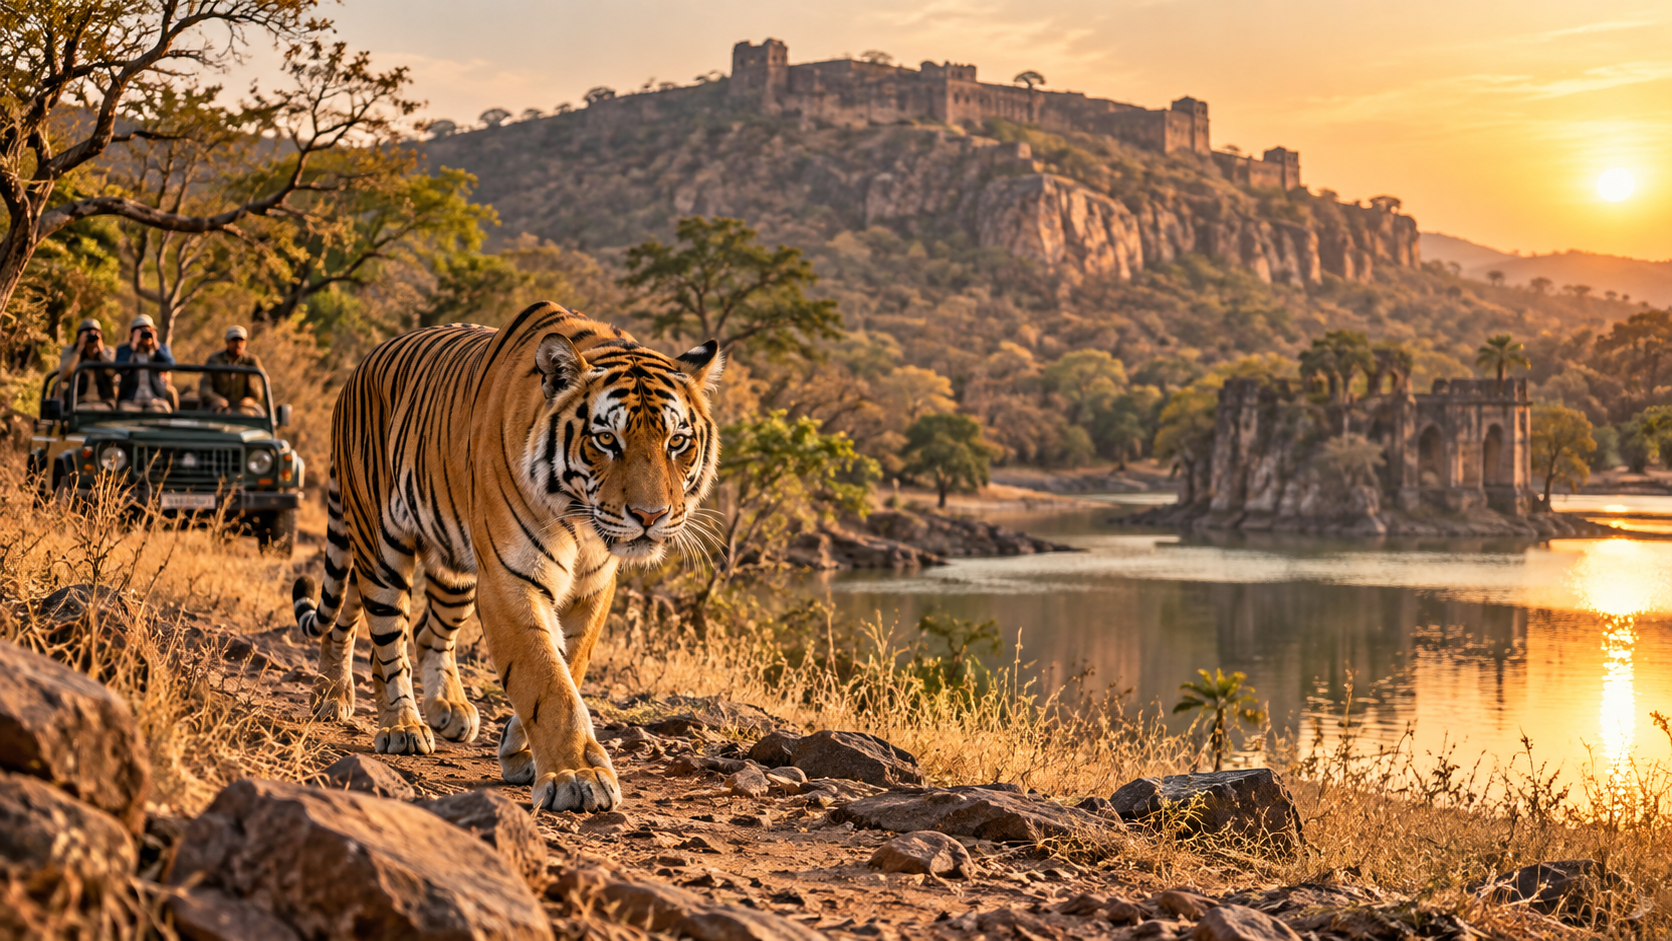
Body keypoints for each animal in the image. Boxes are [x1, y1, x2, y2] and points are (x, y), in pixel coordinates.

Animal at [290, 302, 722, 812]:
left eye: (677, 442)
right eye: (606, 441)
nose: (650, 516)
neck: (579, 518)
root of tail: (362, 364)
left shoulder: (593, 585)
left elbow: (569, 665)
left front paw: (522, 752)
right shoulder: (509, 579)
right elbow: (546, 678)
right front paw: (577, 775)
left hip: (451, 566)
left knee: (417, 629)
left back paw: (432, 707)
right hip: (378, 544)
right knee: (385, 635)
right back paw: (393, 722)